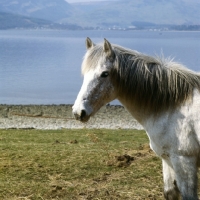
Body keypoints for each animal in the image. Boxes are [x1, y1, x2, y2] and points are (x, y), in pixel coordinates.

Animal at [73, 38, 200, 200]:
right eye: (85, 74)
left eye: (104, 74)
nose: (79, 112)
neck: (174, 105)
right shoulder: (168, 159)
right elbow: (170, 193)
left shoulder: (184, 161)